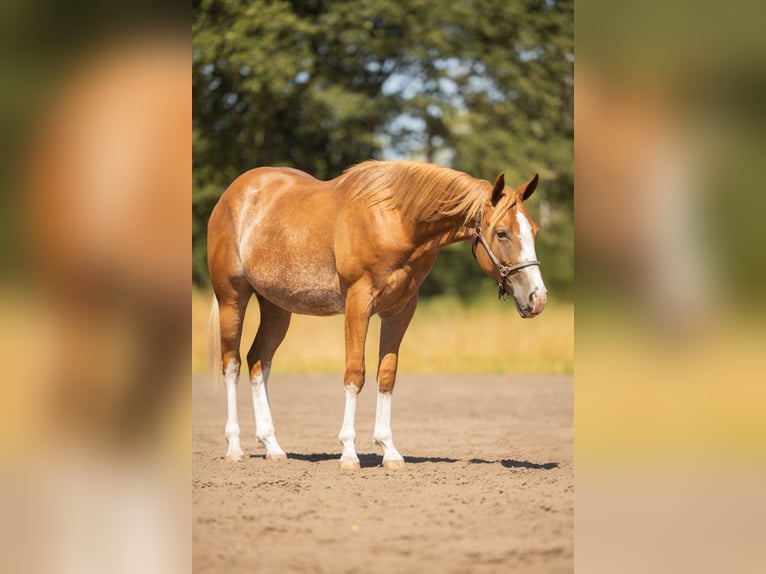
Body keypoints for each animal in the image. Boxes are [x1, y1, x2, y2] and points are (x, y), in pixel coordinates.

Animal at [207, 160, 547, 469]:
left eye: (534, 231)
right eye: (501, 233)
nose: (538, 298)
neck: (395, 221)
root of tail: (232, 194)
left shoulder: (399, 311)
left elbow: (386, 376)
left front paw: (390, 451)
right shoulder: (358, 304)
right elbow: (355, 374)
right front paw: (348, 453)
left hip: (276, 307)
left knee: (258, 361)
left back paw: (273, 447)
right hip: (232, 299)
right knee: (232, 364)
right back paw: (235, 448)